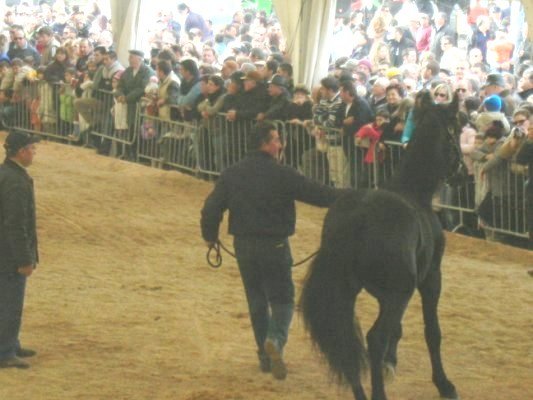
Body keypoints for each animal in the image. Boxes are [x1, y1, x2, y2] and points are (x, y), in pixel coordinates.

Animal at [302, 91, 464, 400]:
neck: (413, 191)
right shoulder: (429, 279)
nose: (460, 172)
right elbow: (432, 331)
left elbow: (396, 330)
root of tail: (357, 219)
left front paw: (391, 362)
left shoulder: (384, 294)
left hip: (350, 291)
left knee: (346, 337)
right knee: (374, 338)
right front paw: (444, 384)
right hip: (400, 291)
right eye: (458, 129)